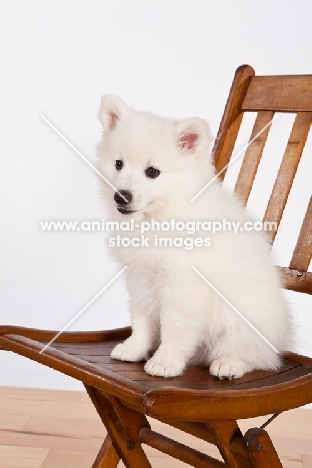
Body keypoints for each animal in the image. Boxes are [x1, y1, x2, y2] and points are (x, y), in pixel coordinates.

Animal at [97, 95, 292, 380]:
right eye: (118, 164)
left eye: (152, 172)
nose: (121, 196)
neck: (161, 216)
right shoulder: (141, 278)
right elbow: (142, 319)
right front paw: (134, 349)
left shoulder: (184, 287)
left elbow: (175, 329)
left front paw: (165, 362)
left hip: (241, 318)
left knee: (257, 355)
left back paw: (229, 364)